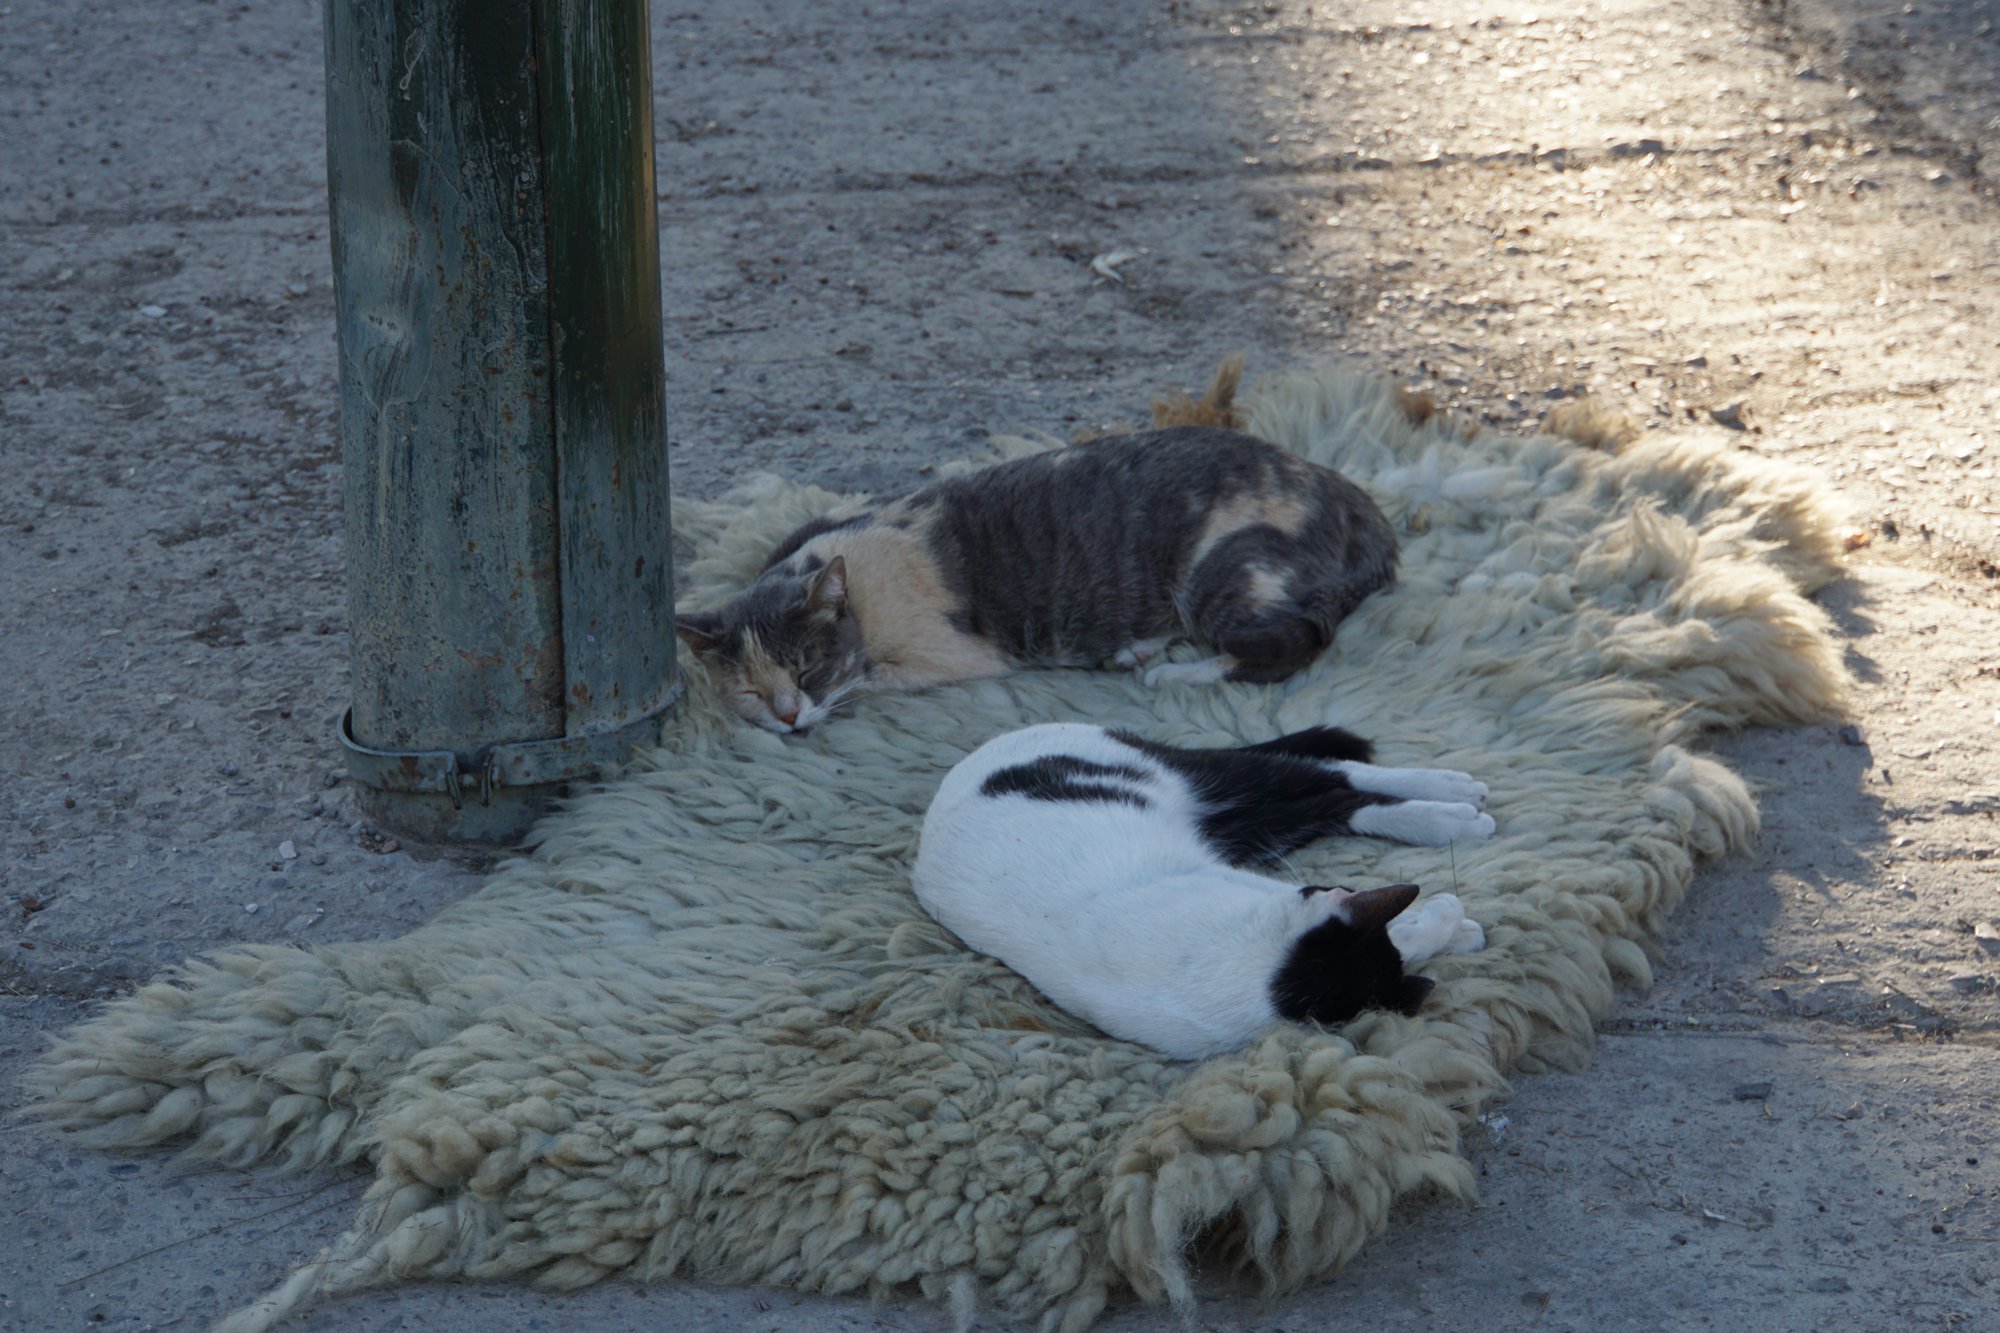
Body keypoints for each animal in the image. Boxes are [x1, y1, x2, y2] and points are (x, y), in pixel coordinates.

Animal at [672, 426, 1392, 732]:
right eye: (746, 689)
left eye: (807, 669)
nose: (788, 714)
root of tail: (1346, 494)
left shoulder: (955, 653)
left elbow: (872, 677)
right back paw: (1137, 648)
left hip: (1228, 568)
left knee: (1292, 643)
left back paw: (1173, 672)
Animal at [916, 720, 1496, 1056]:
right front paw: (1449, 923)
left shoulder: (1226, 880)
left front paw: (1449, 922)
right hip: (1252, 825)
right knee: (1330, 798)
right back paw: (1446, 814)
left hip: (1202, 782)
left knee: (1326, 770)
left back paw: (1449, 795)